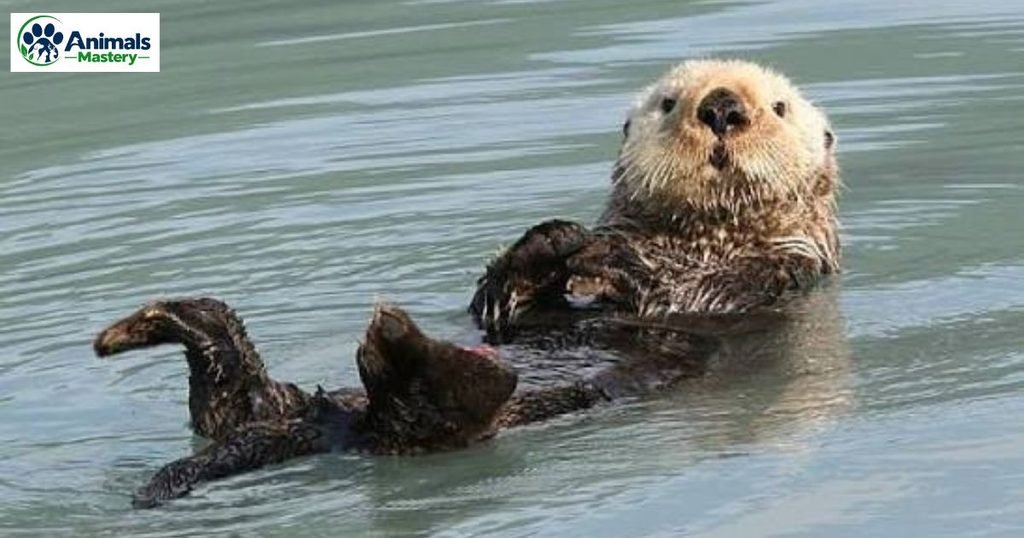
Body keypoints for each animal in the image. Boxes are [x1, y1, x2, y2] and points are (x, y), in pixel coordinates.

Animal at [471, 59, 839, 337]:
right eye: (668, 103)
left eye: (780, 107)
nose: (721, 107)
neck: (706, 243)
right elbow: (491, 305)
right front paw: (554, 237)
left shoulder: (780, 270)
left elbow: (693, 296)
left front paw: (610, 255)